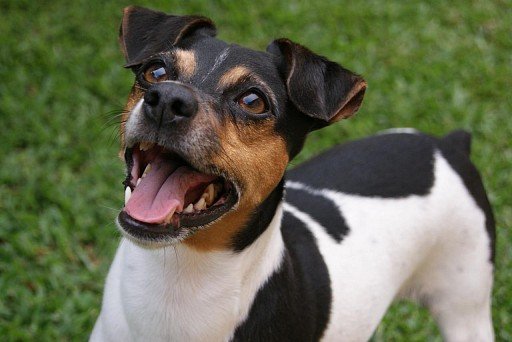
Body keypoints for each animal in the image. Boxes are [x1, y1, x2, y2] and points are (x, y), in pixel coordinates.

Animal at [90, 6, 494, 342]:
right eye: (155, 71)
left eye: (253, 101)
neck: (179, 279)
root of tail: (447, 145)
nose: (167, 99)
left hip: (465, 308)